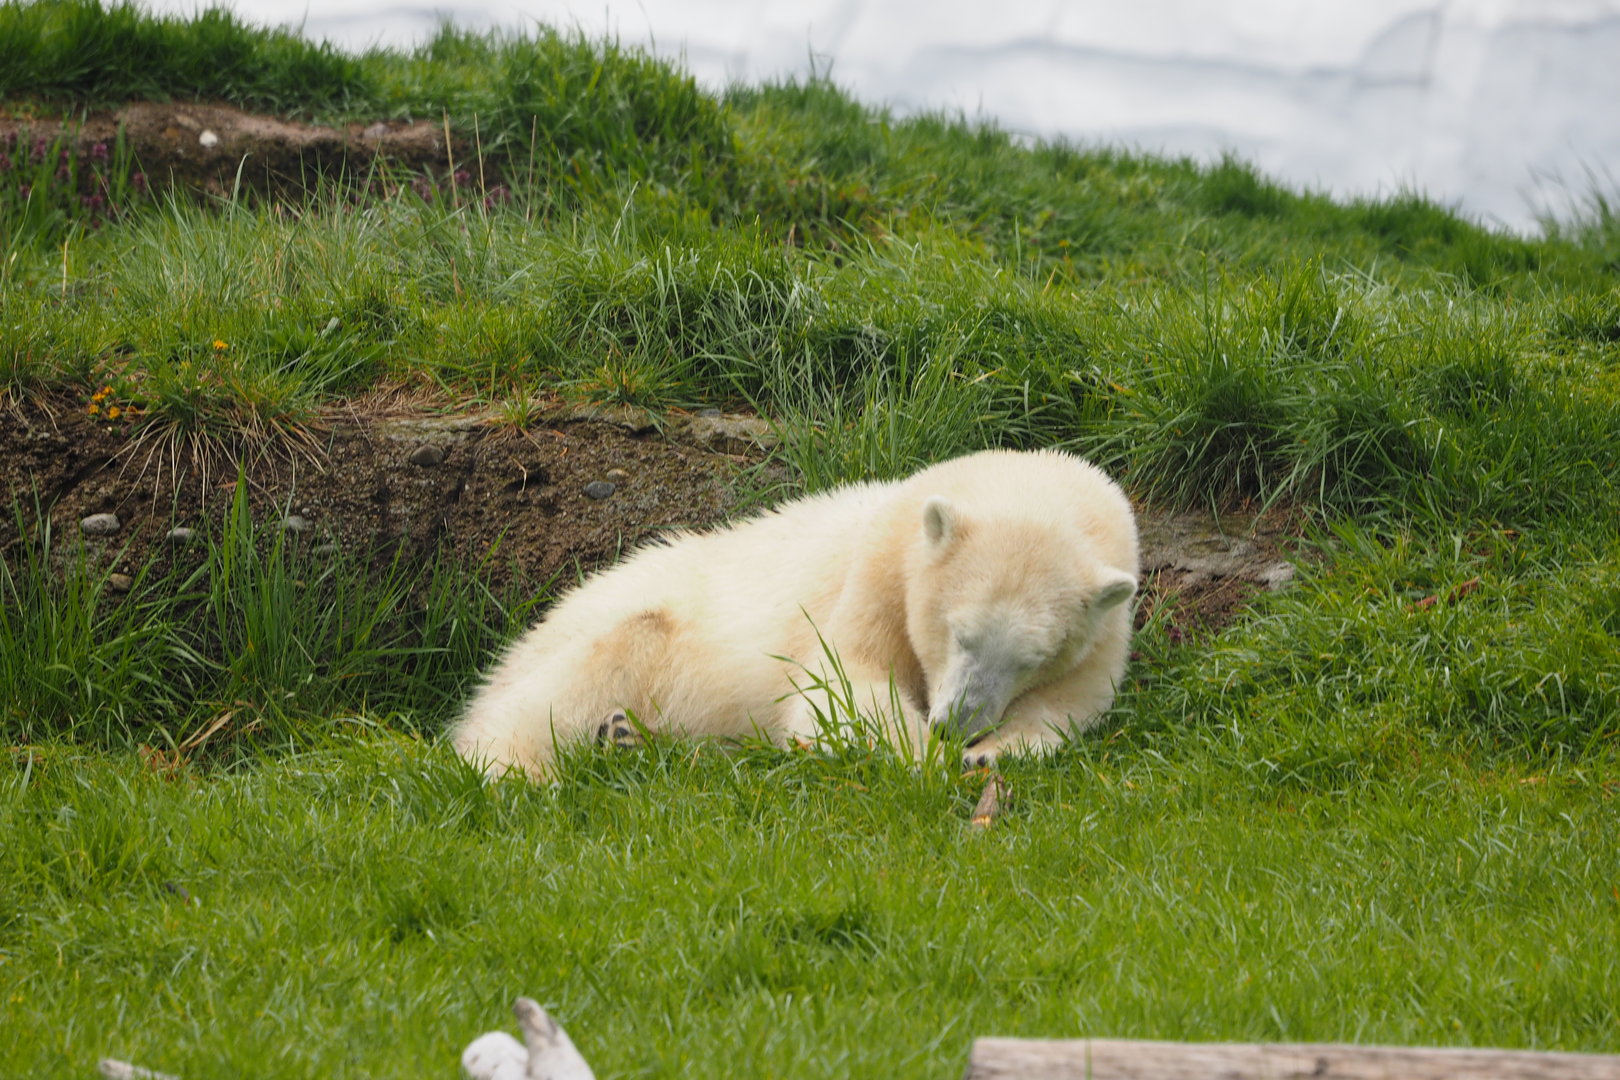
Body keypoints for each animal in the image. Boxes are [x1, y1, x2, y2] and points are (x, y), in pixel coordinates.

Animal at [452, 448, 1140, 778]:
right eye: (958, 633)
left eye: (1033, 658)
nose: (957, 725)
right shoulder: (874, 573)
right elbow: (842, 687)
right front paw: (928, 755)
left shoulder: (1108, 633)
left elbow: (1071, 707)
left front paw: (989, 754)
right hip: (594, 640)